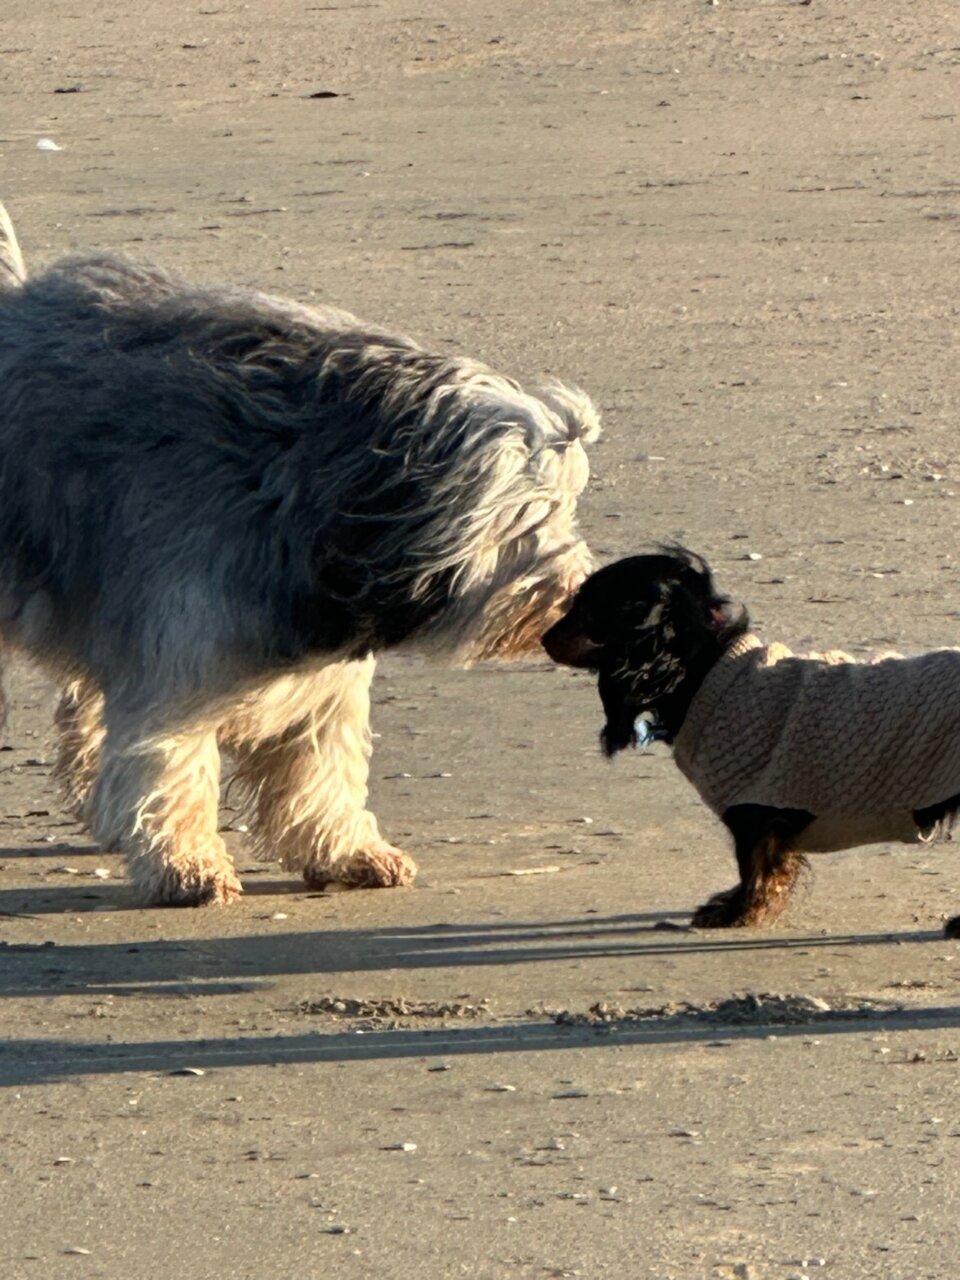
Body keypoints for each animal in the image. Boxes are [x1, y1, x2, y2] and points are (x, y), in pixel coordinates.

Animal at [0, 202, 599, 901]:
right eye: (529, 518)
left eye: (570, 505)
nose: (574, 595)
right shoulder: (176, 655)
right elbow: (171, 764)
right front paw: (187, 865)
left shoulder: (320, 684)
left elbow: (320, 773)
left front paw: (347, 851)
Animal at [545, 545, 960, 936]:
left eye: (588, 604)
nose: (543, 636)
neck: (705, 670)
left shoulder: (754, 808)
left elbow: (754, 867)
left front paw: (737, 912)